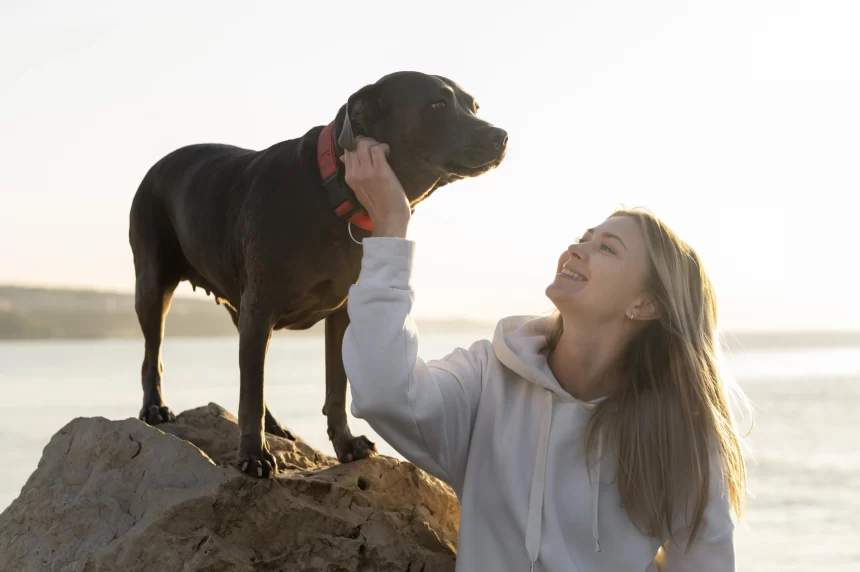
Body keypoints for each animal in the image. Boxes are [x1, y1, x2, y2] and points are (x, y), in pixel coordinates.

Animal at [130, 71, 508, 478]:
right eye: (437, 105)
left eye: (474, 106)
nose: (501, 136)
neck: (332, 195)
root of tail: (157, 166)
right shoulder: (260, 308)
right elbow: (251, 394)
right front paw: (253, 455)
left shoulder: (340, 314)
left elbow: (335, 387)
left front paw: (345, 444)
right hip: (153, 283)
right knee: (155, 354)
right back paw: (155, 407)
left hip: (237, 307)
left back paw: (275, 426)